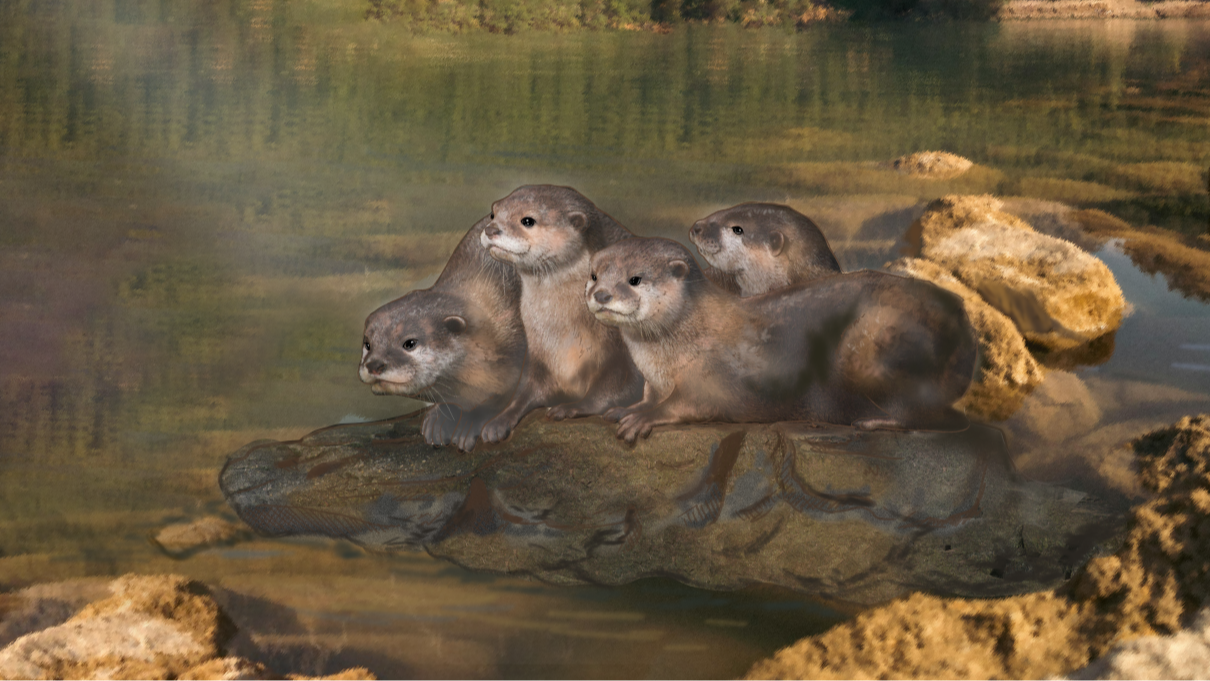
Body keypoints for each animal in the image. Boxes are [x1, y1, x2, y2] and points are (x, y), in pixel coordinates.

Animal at [478, 185, 644, 444]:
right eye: (493, 213)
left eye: (528, 220)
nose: (491, 229)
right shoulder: (539, 359)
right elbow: (526, 392)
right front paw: (498, 421)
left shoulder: (620, 360)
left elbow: (606, 393)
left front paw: (569, 408)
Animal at [586, 237, 976, 444]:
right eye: (593, 275)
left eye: (635, 279)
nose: (601, 294)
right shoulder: (653, 381)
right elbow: (649, 395)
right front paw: (628, 408)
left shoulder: (712, 374)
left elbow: (689, 403)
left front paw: (645, 417)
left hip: (878, 347)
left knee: (924, 414)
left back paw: (873, 422)